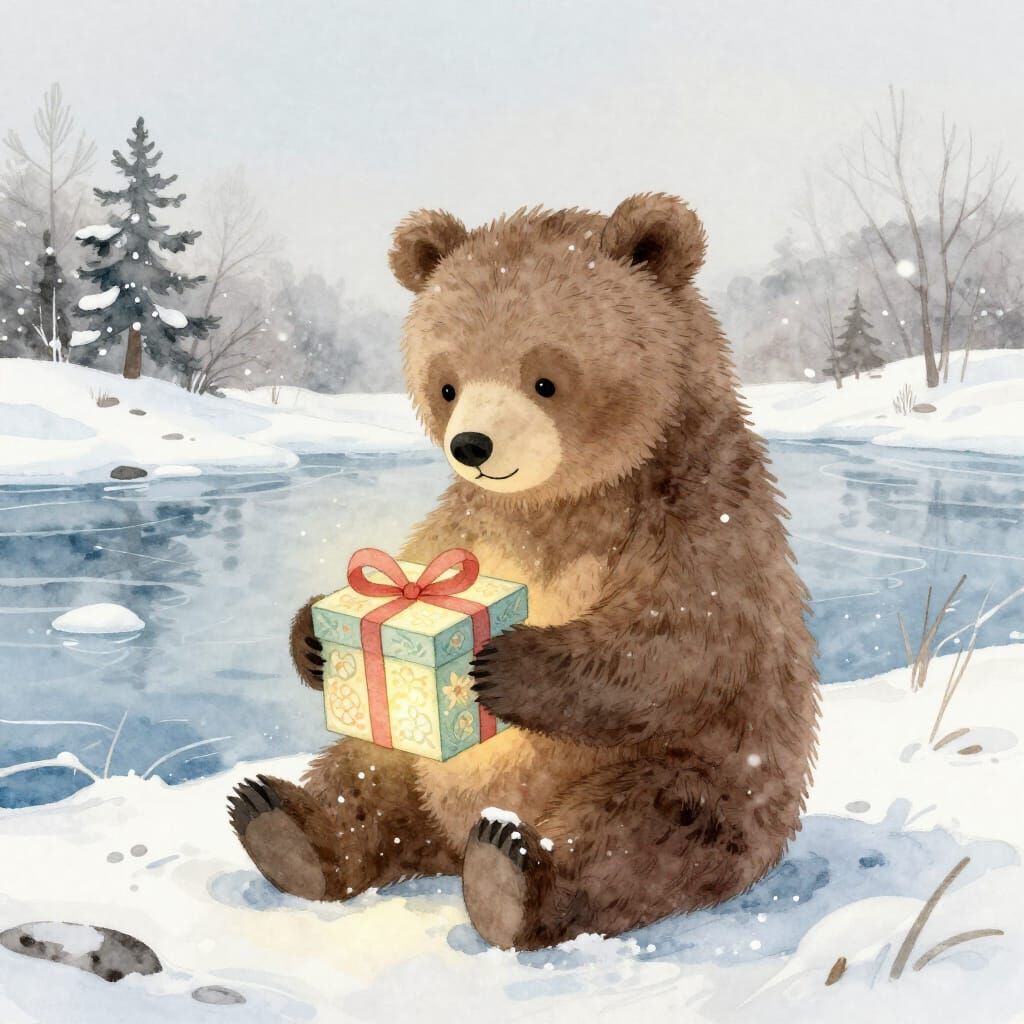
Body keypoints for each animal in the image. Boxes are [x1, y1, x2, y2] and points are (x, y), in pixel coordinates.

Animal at [227, 193, 819, 951]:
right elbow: (420, 553)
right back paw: (280, 823)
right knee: (366, 772)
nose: (472, 447)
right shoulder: (471, 518)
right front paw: (312, 639)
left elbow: (684, 639)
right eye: (447, 384)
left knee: (645, 830)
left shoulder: (699, 508)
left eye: (547, 379)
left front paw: (504, 663)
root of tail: (449, 840)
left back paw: (510, 873)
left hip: (707, 773)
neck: (561, 500)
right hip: (416, 764)